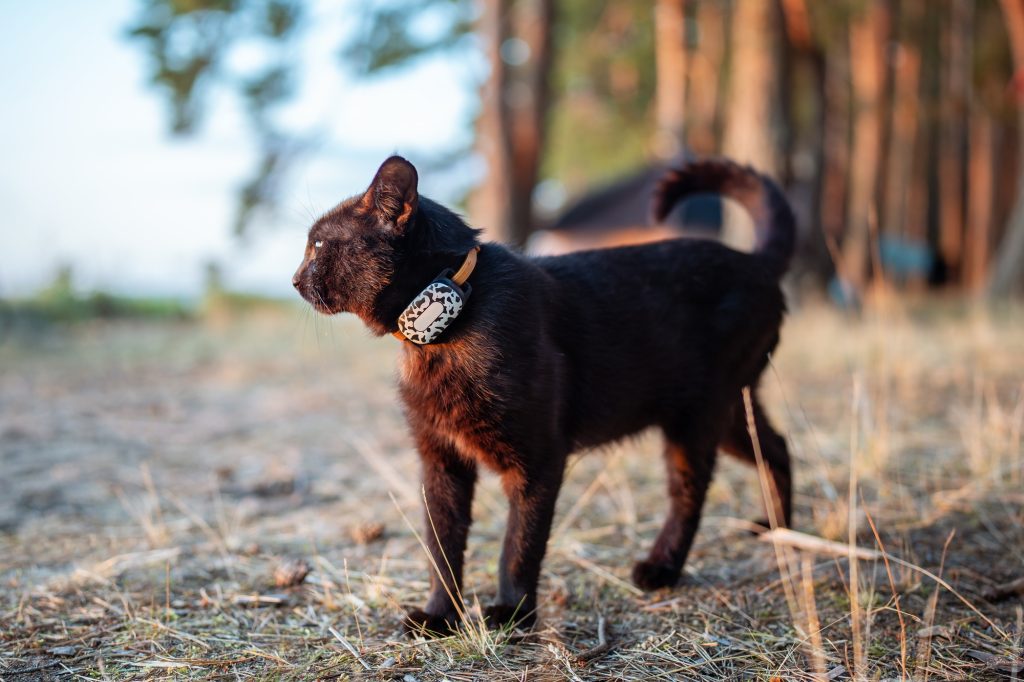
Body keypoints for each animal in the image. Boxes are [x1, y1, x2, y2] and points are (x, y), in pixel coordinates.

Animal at [292, 153, 794, 630]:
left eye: (318, 244)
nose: (295, 280)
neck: (447, 329)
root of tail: (754, 262)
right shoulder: (440, 460)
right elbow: (442, 545)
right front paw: (440, 616)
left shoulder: (537, 459)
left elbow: (519, 544)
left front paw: (513, 613)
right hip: (729, 413)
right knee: (778, 447)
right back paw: (779, 529)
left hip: (696, 420)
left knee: (689, 495)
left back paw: (662, 568)